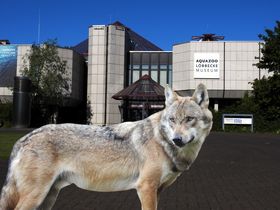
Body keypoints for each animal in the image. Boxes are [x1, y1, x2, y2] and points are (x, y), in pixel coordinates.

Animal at [0, 83, 212, 210]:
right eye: (172, 120)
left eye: (189, 119)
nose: (177, 139)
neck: (162, 142)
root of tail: (23, 139)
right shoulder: (146, 188)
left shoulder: (157, 190)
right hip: (36, 196)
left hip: (47, 198)